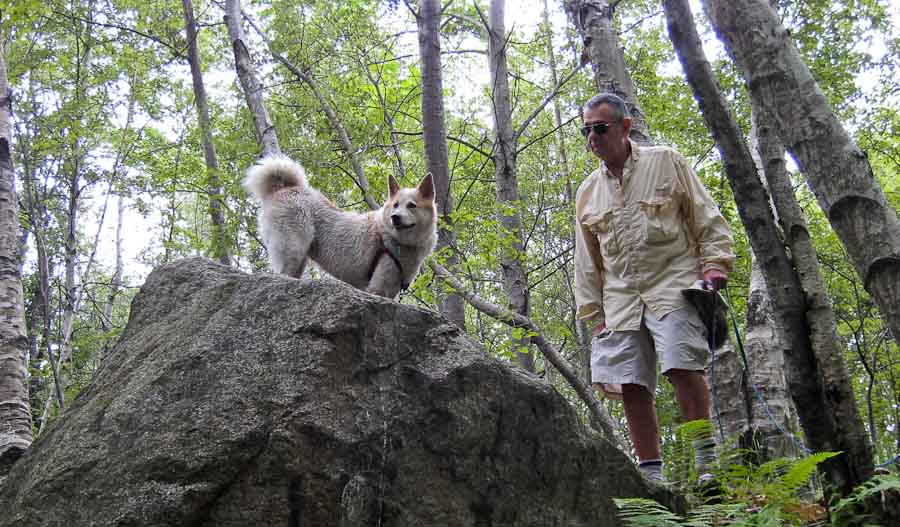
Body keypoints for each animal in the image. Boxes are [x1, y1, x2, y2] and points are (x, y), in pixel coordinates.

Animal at [239, 155, 436, 300]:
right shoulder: (377, 288)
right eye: (395, 205)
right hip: (293, 249)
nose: (395, 218)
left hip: (300, 259)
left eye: (412, 206)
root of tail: (284, 189)